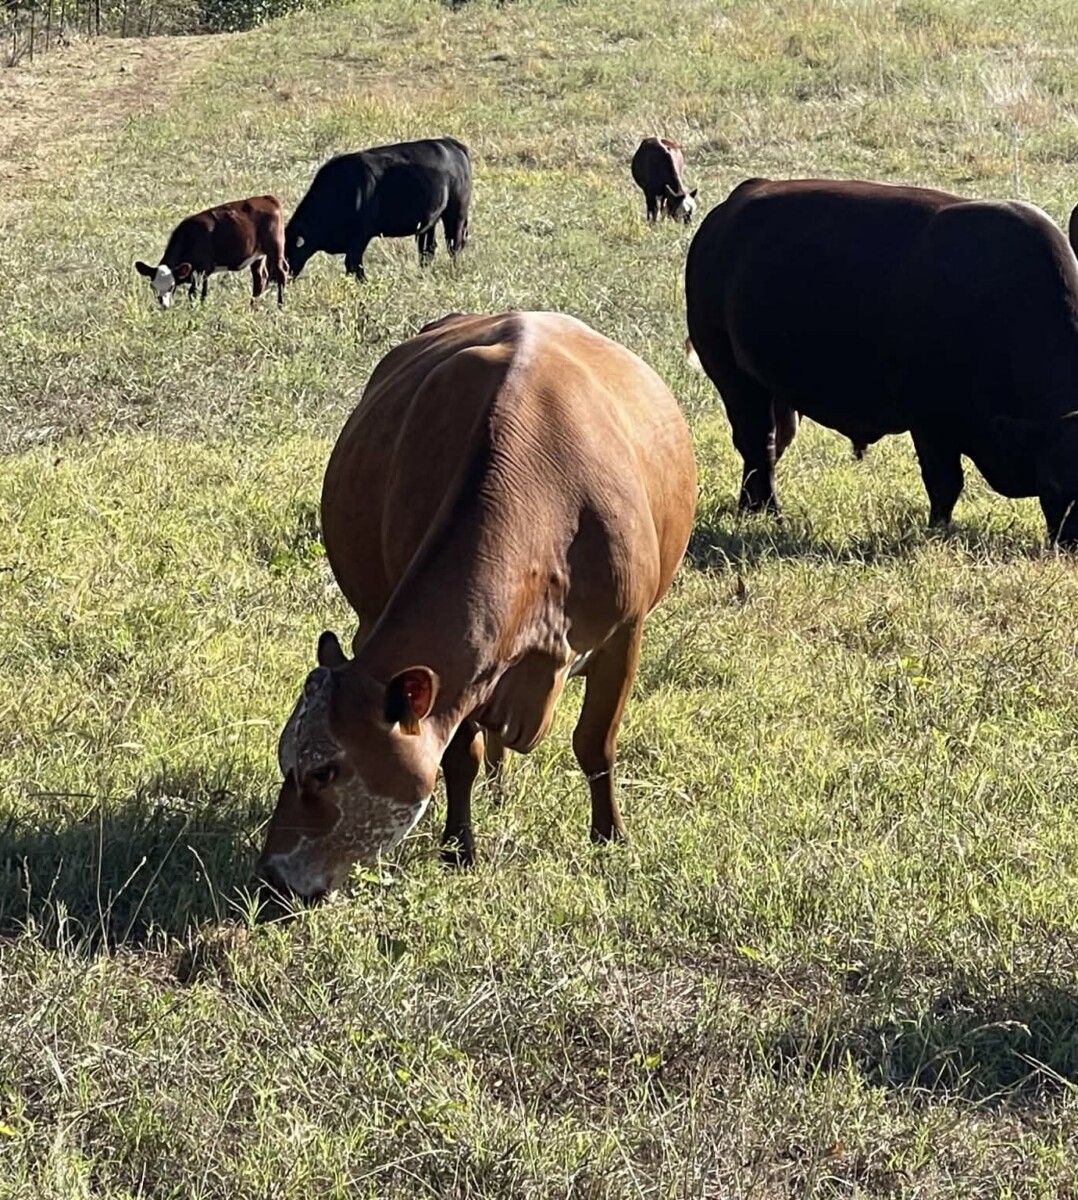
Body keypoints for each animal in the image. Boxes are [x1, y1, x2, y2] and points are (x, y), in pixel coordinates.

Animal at [135, 195, 287, 308]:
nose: (163, 305)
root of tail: (267, 198)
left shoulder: (202, 270)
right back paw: (252, 307)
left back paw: (280, 305)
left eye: (171, 286)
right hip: (257, 255)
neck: (191, 237)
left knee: (281, 273)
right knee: (260, 279)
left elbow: (195, 293)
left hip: (275, 247)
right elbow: (201, 293)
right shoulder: (203, 272)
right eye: (153, 286)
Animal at [253, 310, 698, 899]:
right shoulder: (460, 672)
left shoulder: (625, 632)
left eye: (324, 771)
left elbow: (595, 743)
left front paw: (609, 837)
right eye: (286, 761)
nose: (271, 875)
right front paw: (458, 848)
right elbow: (460, 756)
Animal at [284, 137, 472, 283]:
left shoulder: (359, 237)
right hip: (430, 221)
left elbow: (353, 264)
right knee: (427, 249)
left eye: (285, 255)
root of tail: (451, 144)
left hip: (456, 213)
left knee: (454, 245)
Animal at [685, 177, 1078, 546]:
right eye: (1054, 484)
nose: (1072, 544)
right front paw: (937, 531)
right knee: (758, 443)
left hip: (776, 395)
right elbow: (945, 484)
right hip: (734, 378)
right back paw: (769, 511)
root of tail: (733, 205)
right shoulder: (929, 425)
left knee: (769, 446)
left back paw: (749, 507)